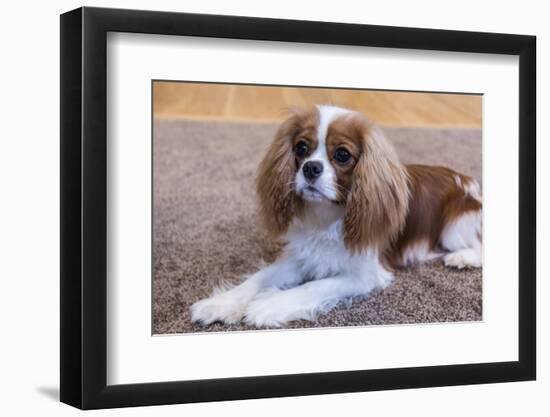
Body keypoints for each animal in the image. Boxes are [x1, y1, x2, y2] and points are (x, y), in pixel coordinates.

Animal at [191, 103, 484, 324]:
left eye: (342, 155)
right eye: (301, 148)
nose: (310, 167)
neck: (327, 216)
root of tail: (468, 181)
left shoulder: (363, 275)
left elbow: (313, 286)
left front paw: (268, 305)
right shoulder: (302, 257)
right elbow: (259, 277)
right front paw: (221, 303)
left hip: (454, 228)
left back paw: (463, 258)